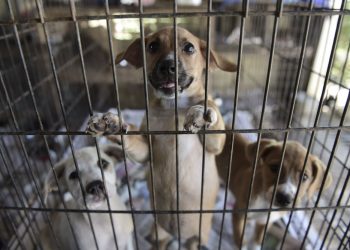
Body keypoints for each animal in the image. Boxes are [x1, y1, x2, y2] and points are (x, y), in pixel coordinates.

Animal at [86, 26, 237, 249]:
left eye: (189, 48)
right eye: (152, 46)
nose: (167, 66)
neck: (173, 106)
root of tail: (177, 235)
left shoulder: (215, 145)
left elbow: (210, 110)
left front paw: (201, 112)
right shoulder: (146, 149)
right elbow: (132, 140)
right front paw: (112, 124)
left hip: (200, 235)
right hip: (159, 231)